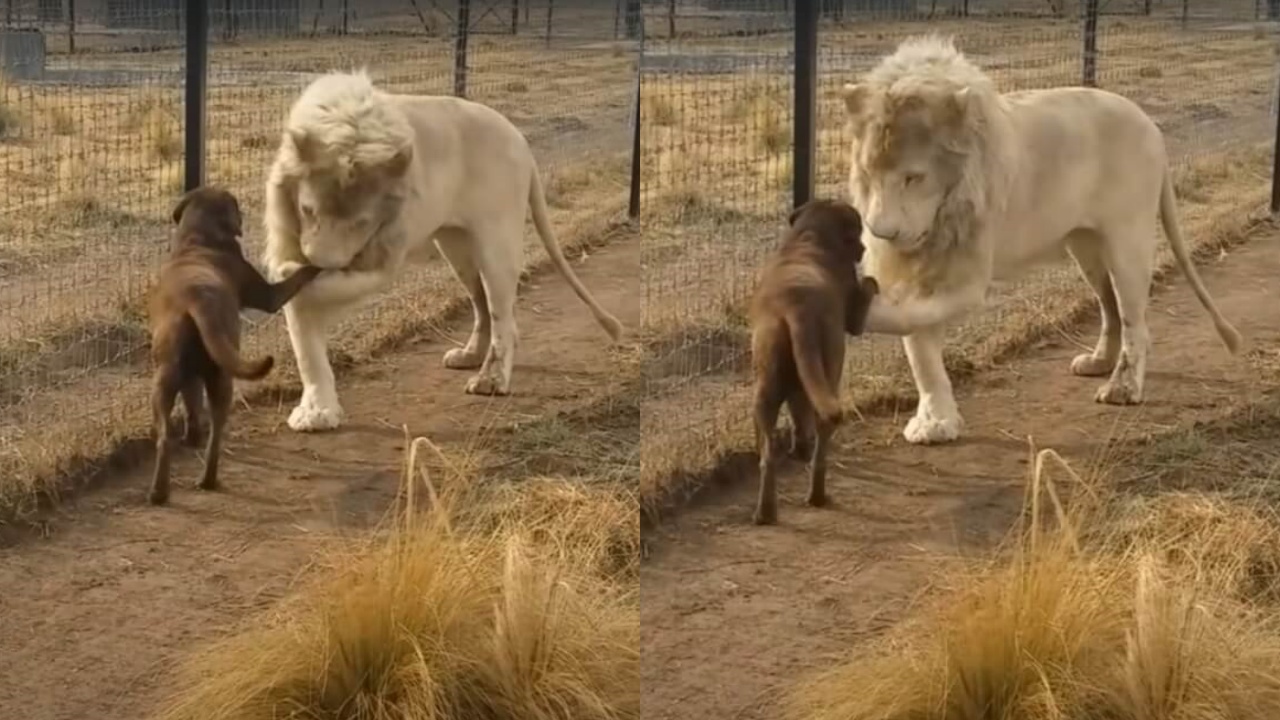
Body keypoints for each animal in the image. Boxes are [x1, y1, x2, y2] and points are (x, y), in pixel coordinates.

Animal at [147, 183, 322, 504]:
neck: (199, 239)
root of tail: (196, 300)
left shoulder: (190, 377)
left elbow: (192, 405)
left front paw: (192, 437)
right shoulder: (268, 296)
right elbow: (298, 277)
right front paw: (315, 264)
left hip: (165, 380)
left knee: (165, 436)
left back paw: (160, 490)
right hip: (222, 378)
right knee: (217, 434)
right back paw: (208, 480)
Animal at [262, 71, 622, 430]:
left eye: (362, 222)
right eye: (307, 210)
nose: (317, 262)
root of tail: (520, 140)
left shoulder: (385, 254)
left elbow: (320, 292)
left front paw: (291, 279)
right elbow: (306, 345)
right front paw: (317, 412)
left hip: (497, 245)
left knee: (501, 316)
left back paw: (491, 380)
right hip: (456, 249)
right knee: (482, 305)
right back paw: (470, 356)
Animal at [747, 198, 880, 525]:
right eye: (857, 230)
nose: (864, 249)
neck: (810, 237)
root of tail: (796, 309)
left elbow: (798, 414)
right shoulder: (853, 315)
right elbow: (866, 287)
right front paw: (872, 279)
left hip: (766, 387)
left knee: (768, 456)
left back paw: (765, 512)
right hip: (829, 374)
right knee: (822, 439)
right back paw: (818, 495)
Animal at [839, 36, 1239, 445]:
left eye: (913, 177)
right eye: (868, 173)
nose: (881, 232)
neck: (945, 213)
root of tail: (1150, 125)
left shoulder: (967, 275)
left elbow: (912, 316)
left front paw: (861, 306)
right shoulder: (922, 264)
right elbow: (921, 351)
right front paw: (936, 422)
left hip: (1128, 241)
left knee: (1135, 320)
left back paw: (1123, 388)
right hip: (1086, 248)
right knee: (1110, 307)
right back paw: (1099, 362)